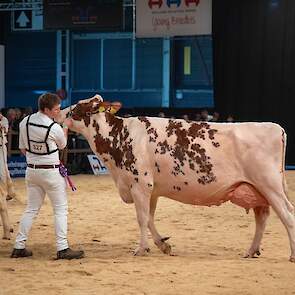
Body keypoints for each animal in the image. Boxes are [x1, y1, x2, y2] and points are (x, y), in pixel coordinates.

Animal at [59, 95, 295, 264]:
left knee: (287, 216)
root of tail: (276, 127)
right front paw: (162, 245)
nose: (59, 113)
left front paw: (141, 249)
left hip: (270, 185)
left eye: (75, 109)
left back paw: (291, 255)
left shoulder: (140, 185)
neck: (120, 136)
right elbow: (150, 218)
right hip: (256, 188)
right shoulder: (151, 189)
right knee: (262, 217)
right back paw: (251, 250)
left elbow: (142, 219)